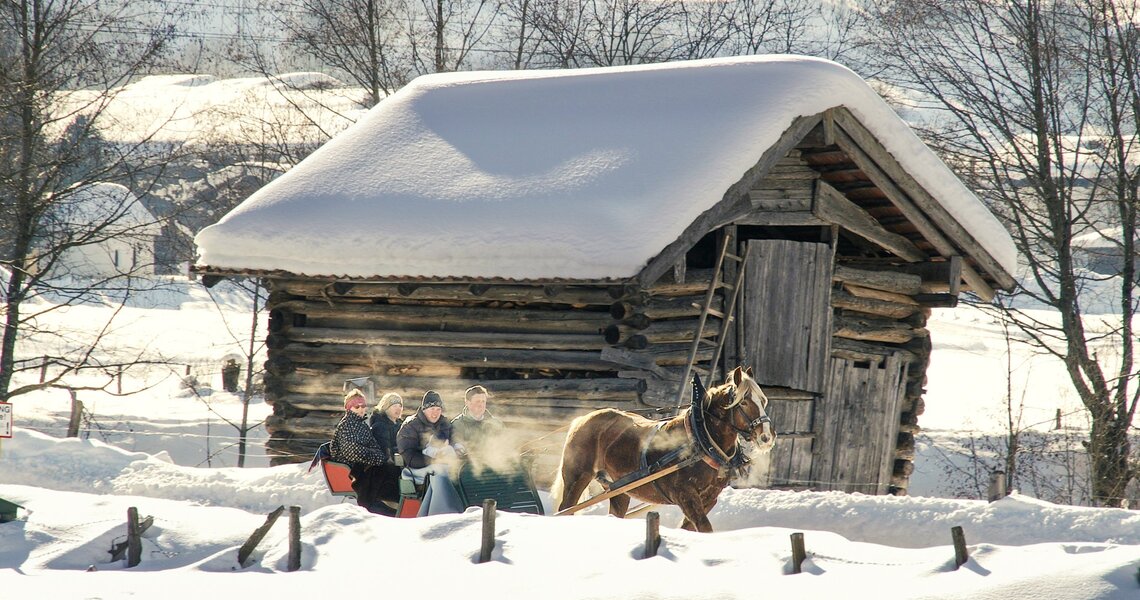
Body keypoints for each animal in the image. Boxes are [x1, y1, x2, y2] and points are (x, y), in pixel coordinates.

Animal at [550, 366, 776, 532]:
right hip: (577, 478)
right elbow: (704, 527)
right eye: (744, 402)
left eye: (763, 400)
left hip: (619, 489)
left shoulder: (709, 498)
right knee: (565, 509)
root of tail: (582, 419)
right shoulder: (685, 495)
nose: (767, 436)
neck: (701, 439)